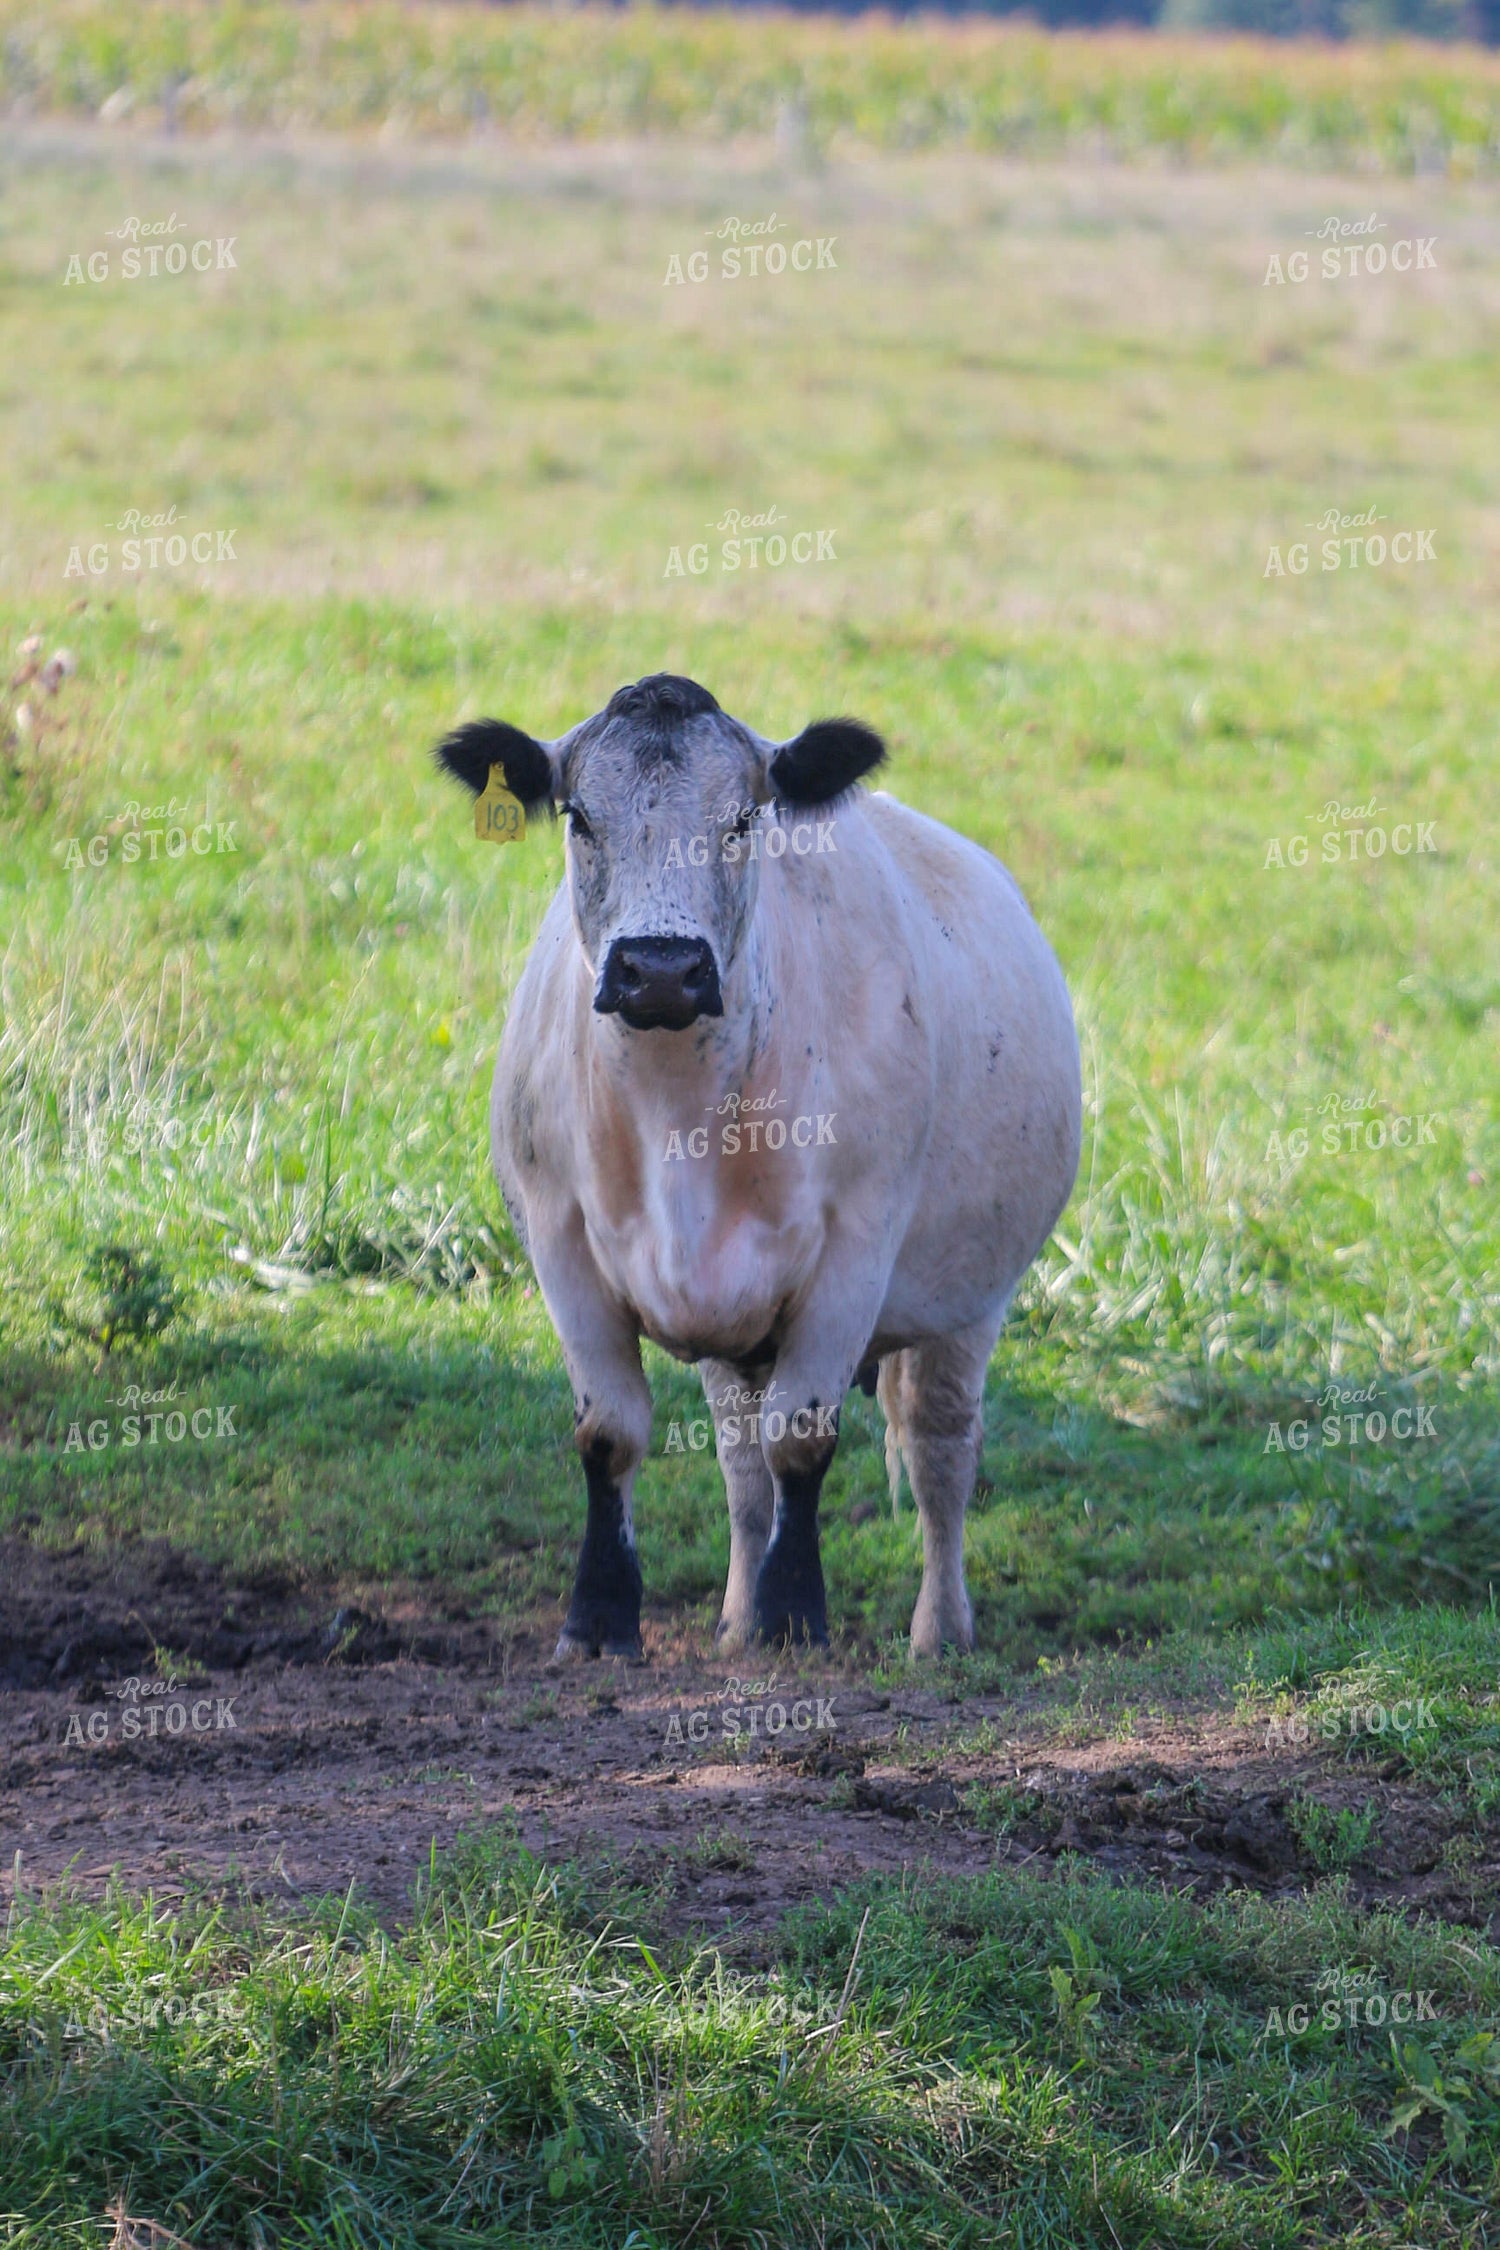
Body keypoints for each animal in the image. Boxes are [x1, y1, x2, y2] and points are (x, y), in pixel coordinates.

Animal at [435, 674, 1081, 1660]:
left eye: (743, 818)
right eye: (580, 817)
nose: (660, 968)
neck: (679, 1118)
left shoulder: (855, 1253)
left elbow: (802, 1442)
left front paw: (795, 1615)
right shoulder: (560, 1244)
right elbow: (613, 1435)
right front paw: (600, 1617)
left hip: (970, 1303)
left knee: (939, 1454)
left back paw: (939, 1629)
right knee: (741, 1465)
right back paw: (736, 1620)